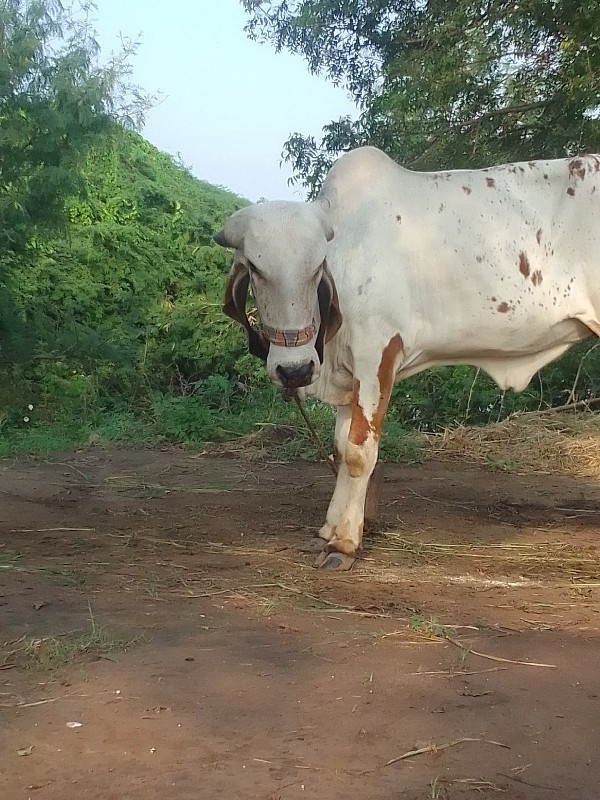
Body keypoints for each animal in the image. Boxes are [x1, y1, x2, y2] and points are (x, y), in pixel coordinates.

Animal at [214, 147, 600, 572]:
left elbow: (358, 452)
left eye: (317, 267)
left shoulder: (378, 353)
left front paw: (344, 544)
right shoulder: (350, 373)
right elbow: (340, 445)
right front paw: (330, 530)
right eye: (255, 268)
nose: (295, 369)